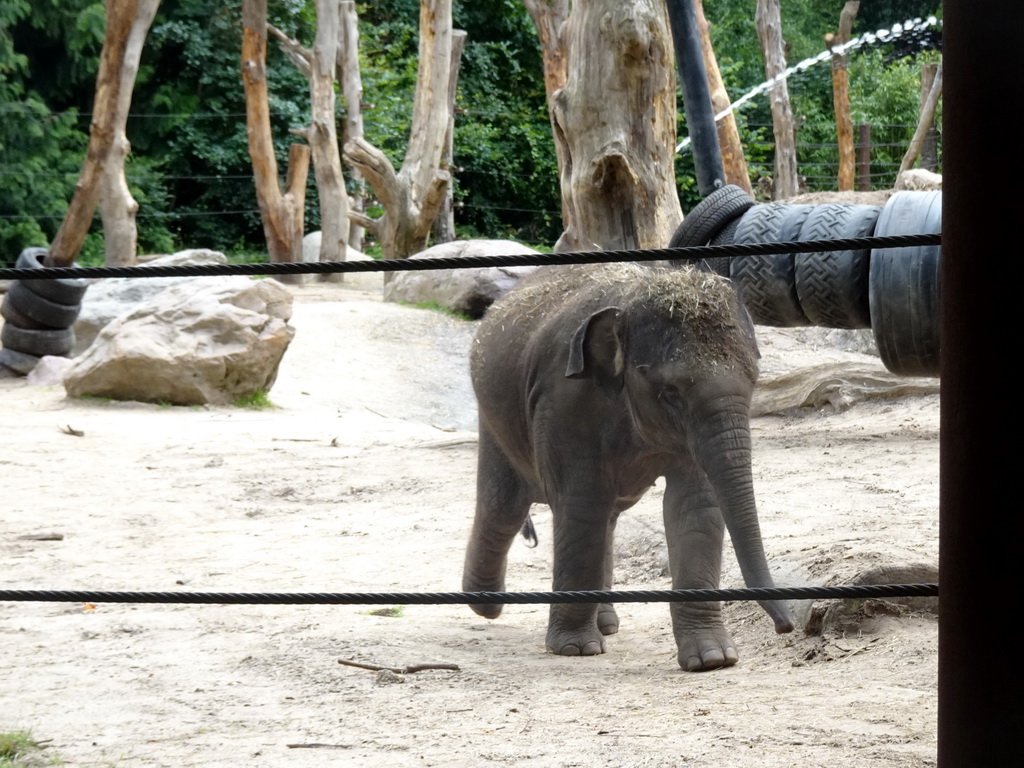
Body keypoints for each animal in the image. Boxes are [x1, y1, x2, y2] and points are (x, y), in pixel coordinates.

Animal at [462, 262, 790, 671]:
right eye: (670, 393)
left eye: (754, 381)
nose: (786, 628)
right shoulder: (565, 402)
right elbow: (582, 503)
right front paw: (575, 649)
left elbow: (694, 506)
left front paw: (712, 660)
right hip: (495, 420)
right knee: (505, 508)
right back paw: (486, 605)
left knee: (605, 516)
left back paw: (605, 623)